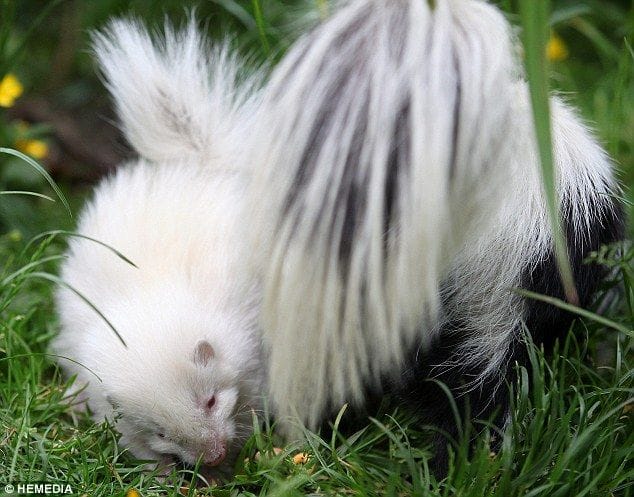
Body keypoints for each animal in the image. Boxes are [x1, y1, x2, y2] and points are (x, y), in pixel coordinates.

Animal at [50, 20, 262, 472]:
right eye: (162, 431)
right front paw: (162, 471)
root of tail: (195, 163)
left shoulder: (249, 343)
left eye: (210, 400)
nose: (212, 456)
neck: (150, 298)